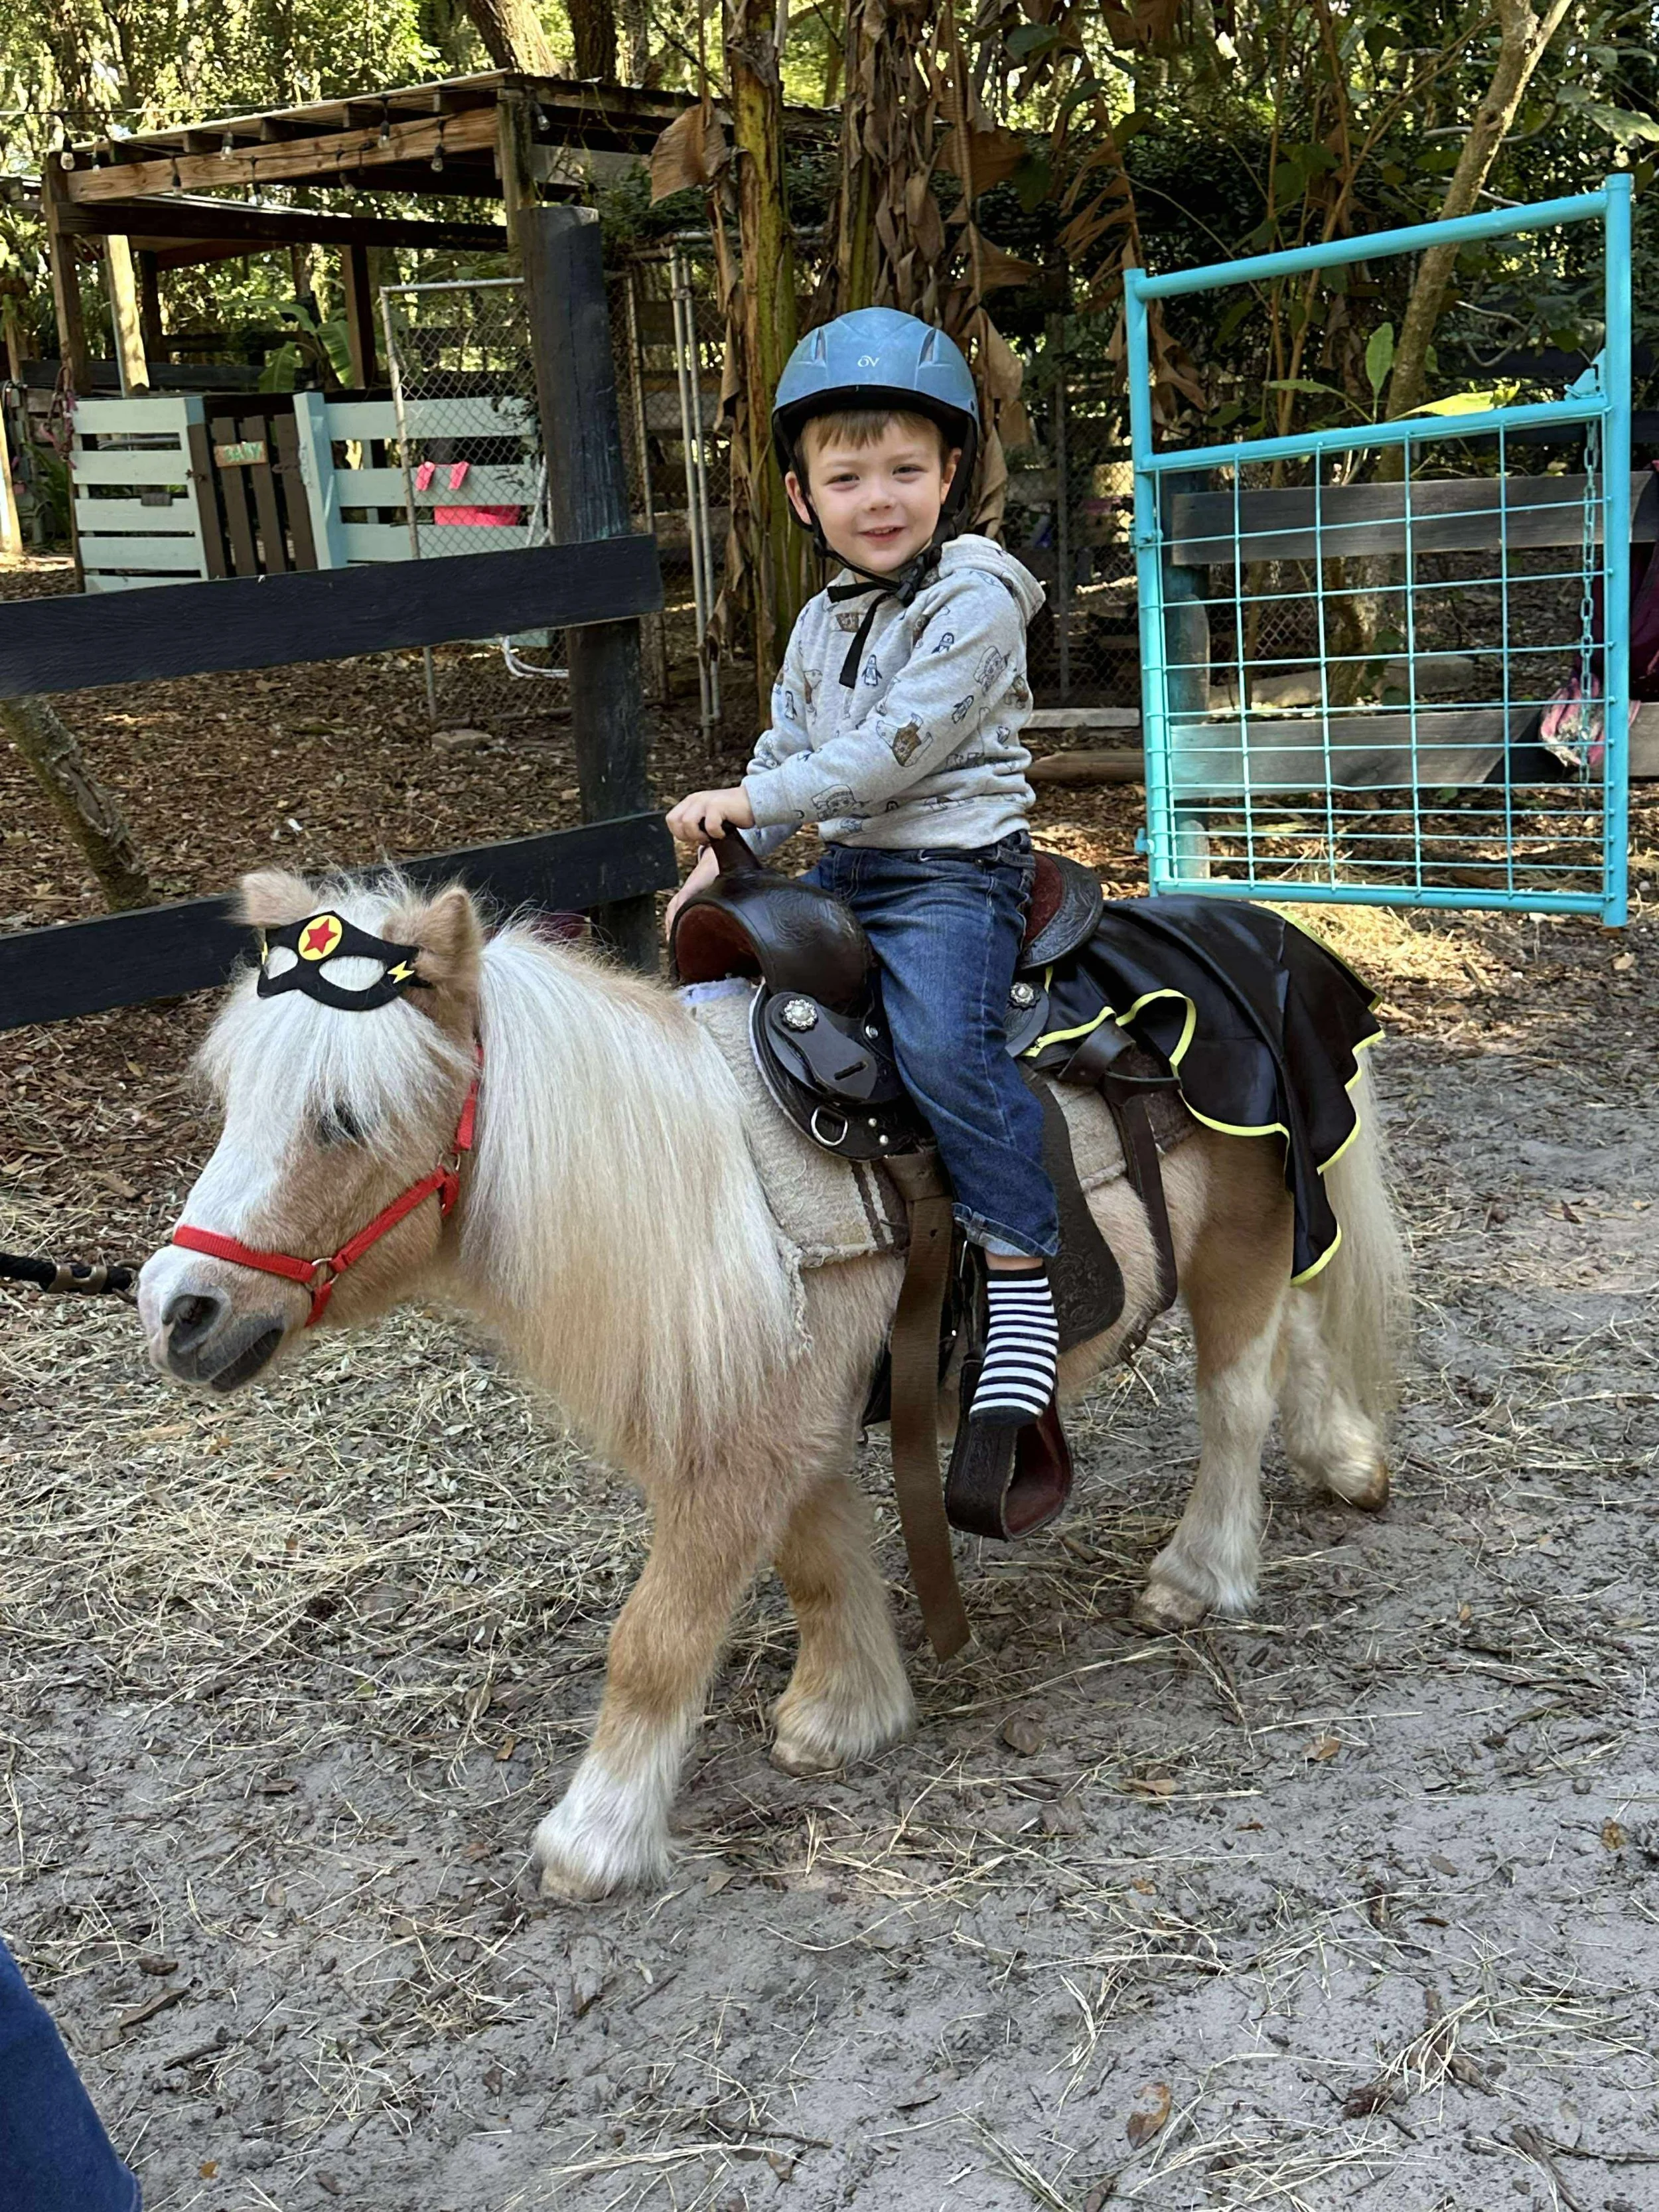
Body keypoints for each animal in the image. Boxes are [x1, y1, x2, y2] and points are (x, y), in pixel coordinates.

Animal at [136, 868, 1408, 1902]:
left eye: (344, 1118)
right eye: (233, 1100)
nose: (176, 1309)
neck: (713, 1184)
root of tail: (1266, 933)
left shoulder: (741, 1447)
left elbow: (656, 1637)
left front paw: (595, 1834)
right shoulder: (791, 1418)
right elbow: (818, 1564)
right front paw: (846, 1715)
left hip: (1238, 1236)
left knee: (1235, 1398)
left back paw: (1201, 1572)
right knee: (1296, 1333)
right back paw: (1345, 1456)